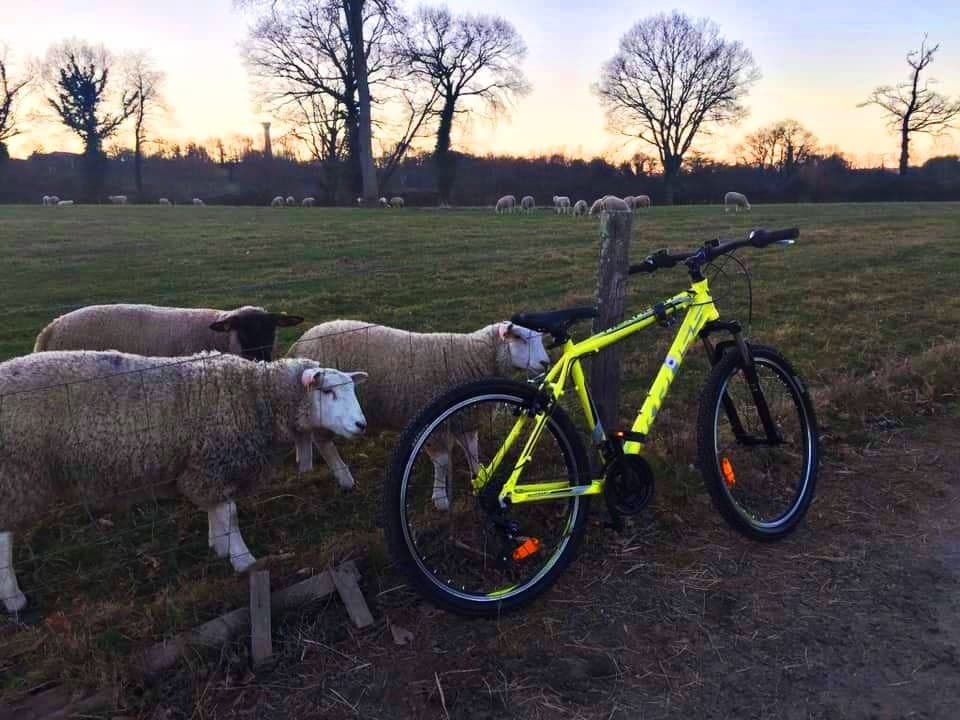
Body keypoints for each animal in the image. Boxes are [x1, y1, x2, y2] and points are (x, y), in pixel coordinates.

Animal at [0, 350, 368, 613]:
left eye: (351, 389)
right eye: (329, 391)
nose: (361, 425)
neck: (257, 396)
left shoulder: (205, 466)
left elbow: (218, 512)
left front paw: (218, 545)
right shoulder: (211, 464)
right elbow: (230, 514)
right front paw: (244, 561)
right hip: (17, 475)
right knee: (4, 536)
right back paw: (14, 597)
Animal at [287, 319, 550, 508]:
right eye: (519, 338)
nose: (546, 363)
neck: (471, 356)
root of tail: (302, 341)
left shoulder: (466, 417)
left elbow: (472, 450)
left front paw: (480, 475)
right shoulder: (437, 425)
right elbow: (442, 461)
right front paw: (441, 499)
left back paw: (304, 462)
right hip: (324, 409)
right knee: (323, 441)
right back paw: (343, 478)